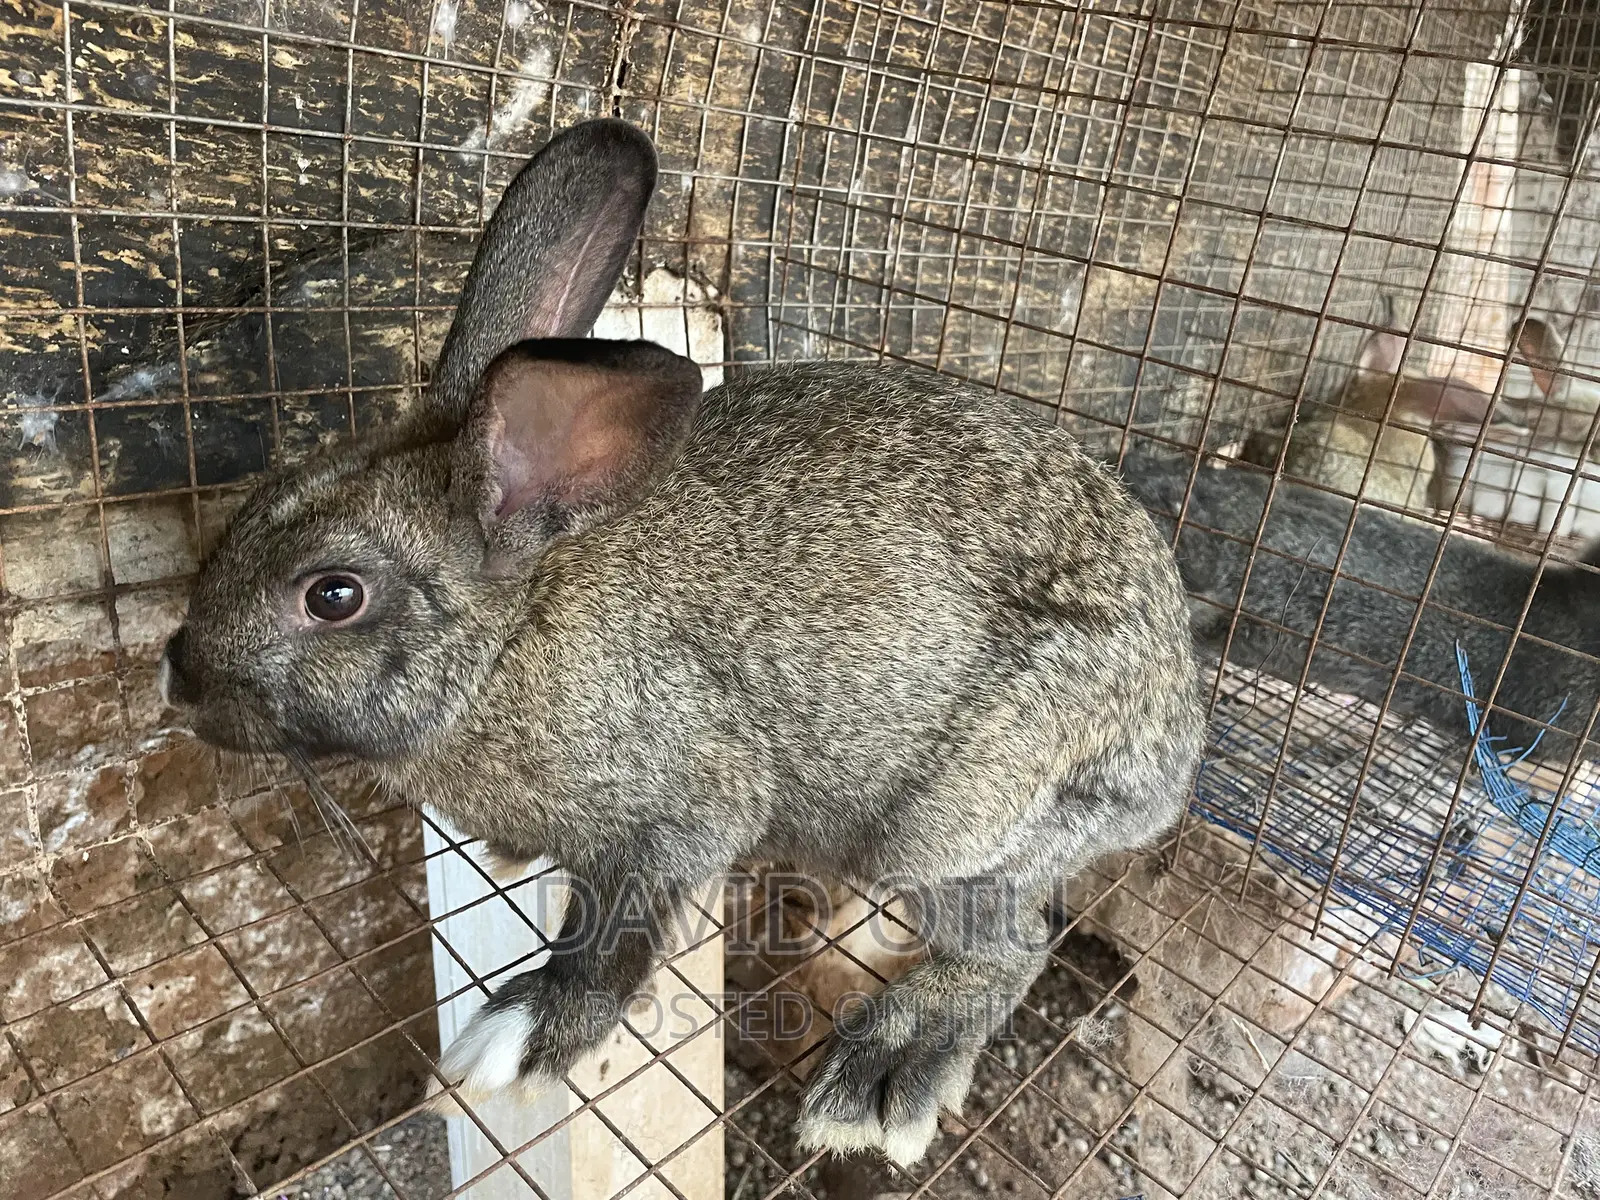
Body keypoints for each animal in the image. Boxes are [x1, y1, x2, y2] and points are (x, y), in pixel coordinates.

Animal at [157, 118, 1205, 1168]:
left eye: (333, 595)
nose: (178, 680)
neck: (509, 636)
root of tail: (1175, 747)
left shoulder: (679, 814)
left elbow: (608, 938)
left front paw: (523, 1035)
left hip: (950, 821)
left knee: (1011, 944)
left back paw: (882, 1082)